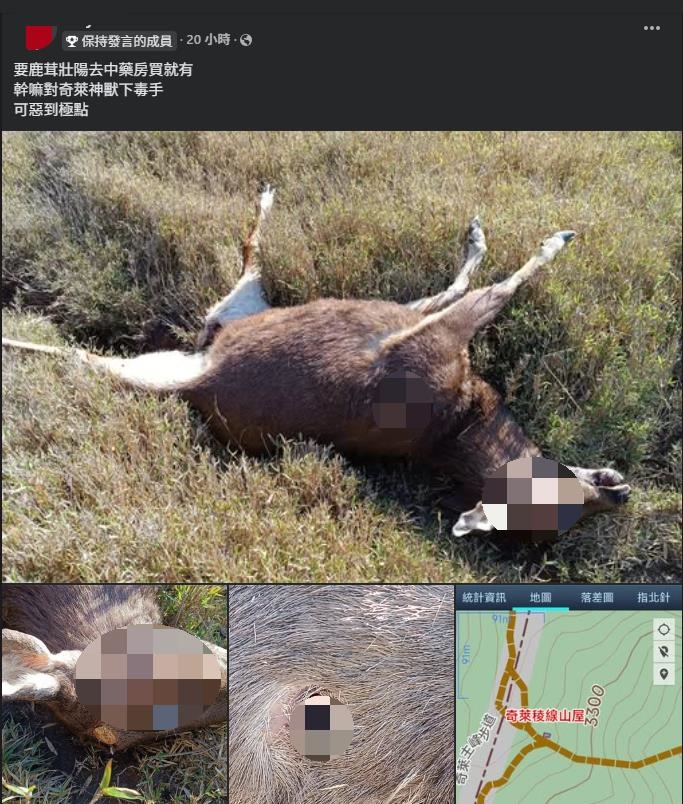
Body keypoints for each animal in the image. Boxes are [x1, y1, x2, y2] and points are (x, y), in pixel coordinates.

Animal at [2, 186, 630, 537]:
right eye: (571, 500)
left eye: (571, 517)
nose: (620, 494)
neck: (463, 415)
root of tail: (198, 378)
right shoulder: (426, 326)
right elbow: (488, 282)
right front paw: (527, 235)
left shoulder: (425, 329)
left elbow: (482, 284)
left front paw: (509, 237)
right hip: (236, 308)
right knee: (250, 247)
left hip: (215, 323)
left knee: (87, 352)